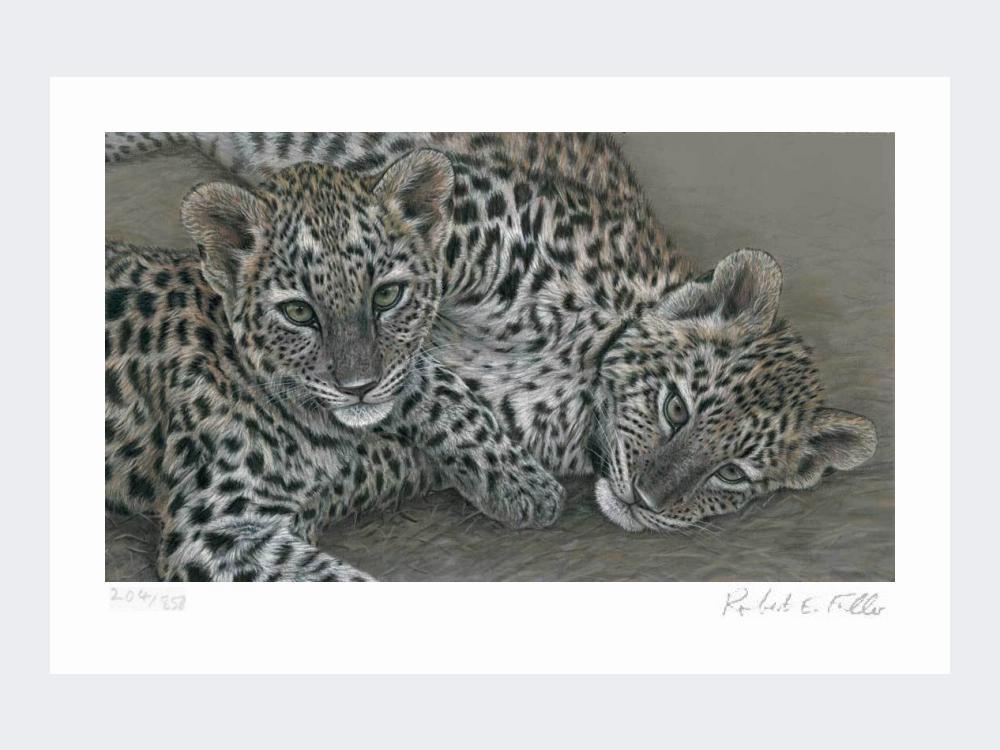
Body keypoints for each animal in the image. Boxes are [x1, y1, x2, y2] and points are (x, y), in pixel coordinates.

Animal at [105, 150, 566, 581]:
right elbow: (331, 579)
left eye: (387, 296)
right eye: (297, 312)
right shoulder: (213, 533)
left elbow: (435, 382)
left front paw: (523, 482)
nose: (358, 387)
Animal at [107, 132, 877, 534]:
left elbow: (414, 377)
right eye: (676, 408)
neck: (582, 362)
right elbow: (405, 349)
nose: (645, 500)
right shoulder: (455, 229)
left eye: (733, 474)